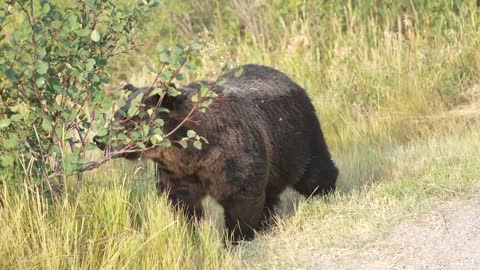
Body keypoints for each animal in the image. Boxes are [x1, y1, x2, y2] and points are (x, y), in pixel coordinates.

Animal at [94, 64, 340, 242]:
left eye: (131, 119)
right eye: (117, 115)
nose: (99, 140)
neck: (191, 151)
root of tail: (289, 79)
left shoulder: (229, 154)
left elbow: (240, 195)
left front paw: (236, 237)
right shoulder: (176, 171)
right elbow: (180, 202)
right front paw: (190, 231)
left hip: (297, 137)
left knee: (313, 172)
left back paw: (326, 193)